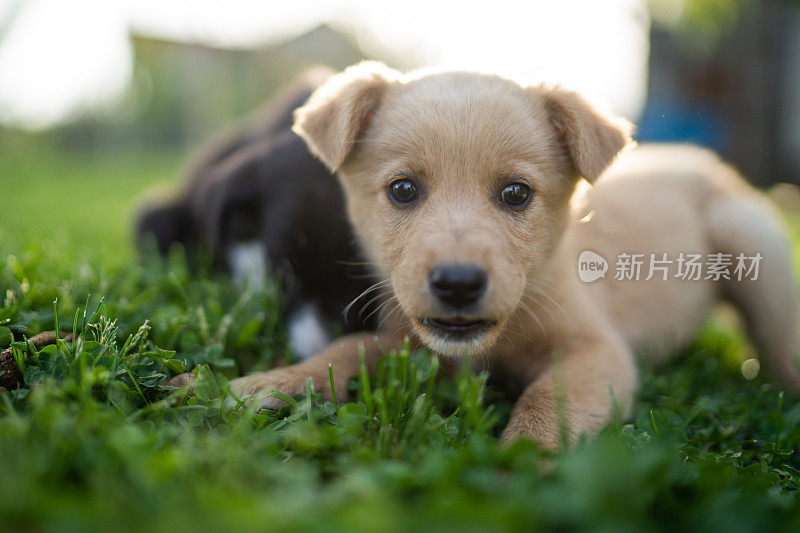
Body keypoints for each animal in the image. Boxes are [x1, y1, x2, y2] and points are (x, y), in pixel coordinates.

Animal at [230, 60, 800, 446]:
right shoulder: (406, 342)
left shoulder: (596, 349)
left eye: (516, 193)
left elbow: (549, 401)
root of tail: (700, 160)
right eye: (403, 189)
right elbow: (347, 350)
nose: (458, 284)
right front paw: (270, 383)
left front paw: (525, 458)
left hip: (749, 240)